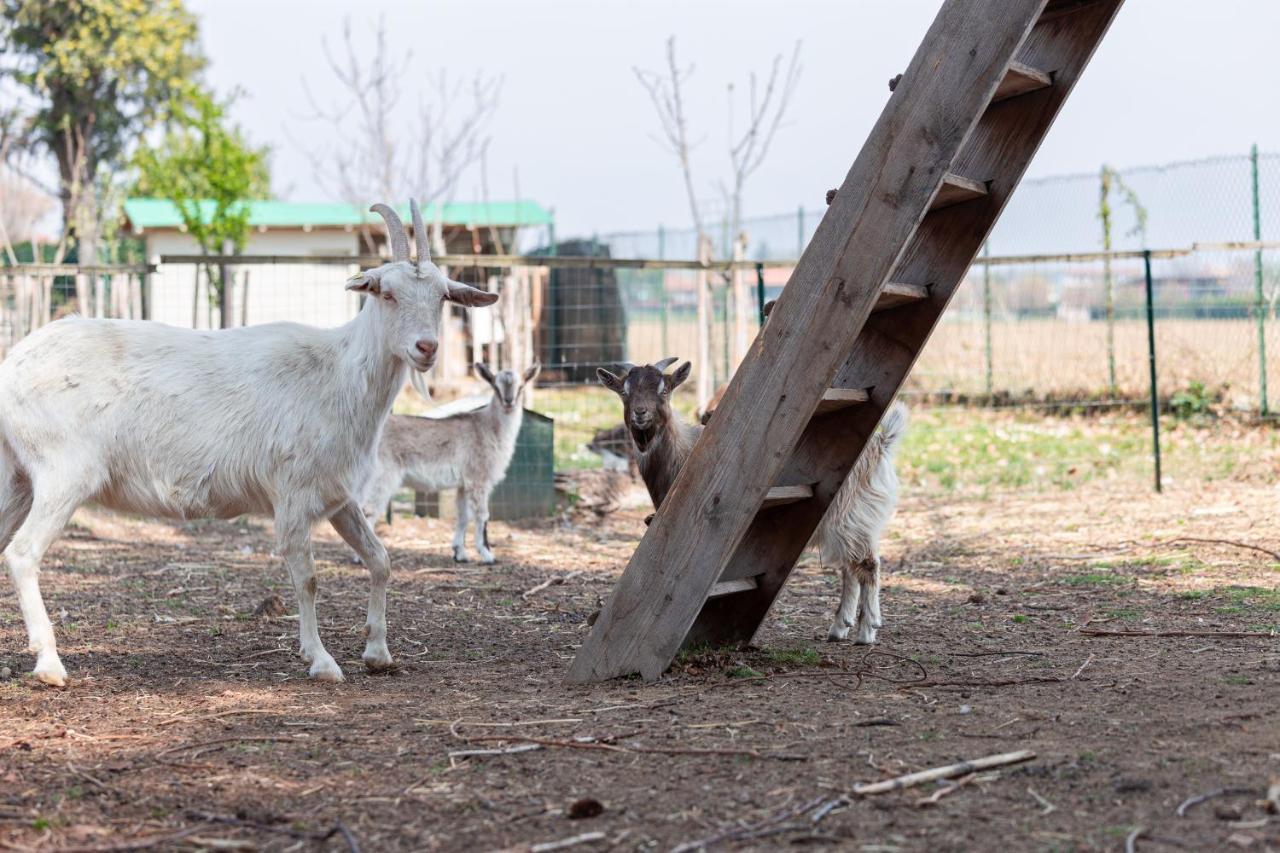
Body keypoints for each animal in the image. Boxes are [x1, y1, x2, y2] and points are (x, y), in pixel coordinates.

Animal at [0, 199, 499, 686]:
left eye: (443, 296)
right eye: (387, 292)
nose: (426, 348)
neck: (336, 375)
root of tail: (12, 368)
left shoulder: (337, 495)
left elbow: (380, 560)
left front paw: (378, 652)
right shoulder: (293, 493)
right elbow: (308, 578)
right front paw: (321, 660)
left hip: (17, 478)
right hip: (65, 472)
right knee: (23, 554)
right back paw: (49, 663)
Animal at [363, 361, 537, 563]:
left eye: (521, 386)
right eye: (495, 386)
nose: (509, 402)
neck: (488, 428)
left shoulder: (464, 484)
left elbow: (463, 516)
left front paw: (460, 553)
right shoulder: (478, 478)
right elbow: (482, 515)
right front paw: (487, 555)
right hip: (383, 476)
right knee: (368, 510)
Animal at [596, 356, 906, 640]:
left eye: (664, 388)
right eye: (624, 391)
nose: (640, 414)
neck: (683, 454)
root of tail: (881, 445)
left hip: (850, 515)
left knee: (866, 564)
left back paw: (867, 630)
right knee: (850, 568)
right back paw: (840, 628)